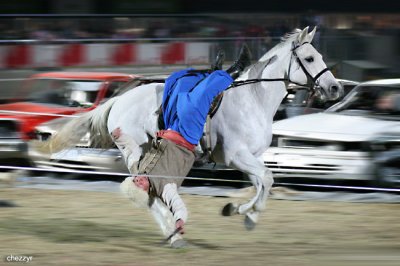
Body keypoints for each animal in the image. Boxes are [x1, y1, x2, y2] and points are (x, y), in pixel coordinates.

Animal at [43, 27, 344, 241]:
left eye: (320, 56)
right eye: (309, 58)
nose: (335, 88)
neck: (252, 99)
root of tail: (117, 100)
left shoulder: (251, 158)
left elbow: (262, 183)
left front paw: (243, 214)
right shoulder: (236, 156)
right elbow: (267, 179)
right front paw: (245, 214)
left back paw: (173, 230)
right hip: (135, 152)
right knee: (146, 188)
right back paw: (171, 231)